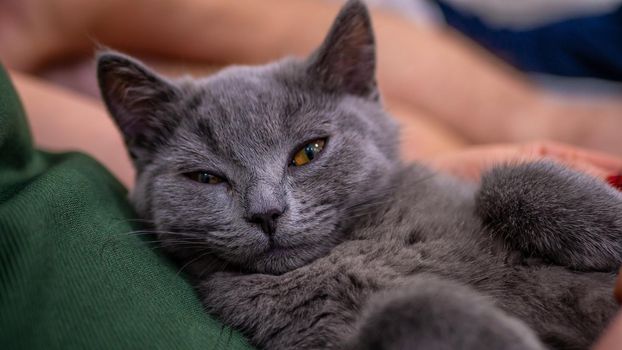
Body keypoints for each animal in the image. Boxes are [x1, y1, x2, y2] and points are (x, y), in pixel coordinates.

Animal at [95, 1, 620, 348]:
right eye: (206, 179)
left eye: (308, 152)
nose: (266, 212)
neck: (359, 246)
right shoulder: (322, 337)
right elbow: (406, 307)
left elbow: (504, 182)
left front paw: (610, 226)